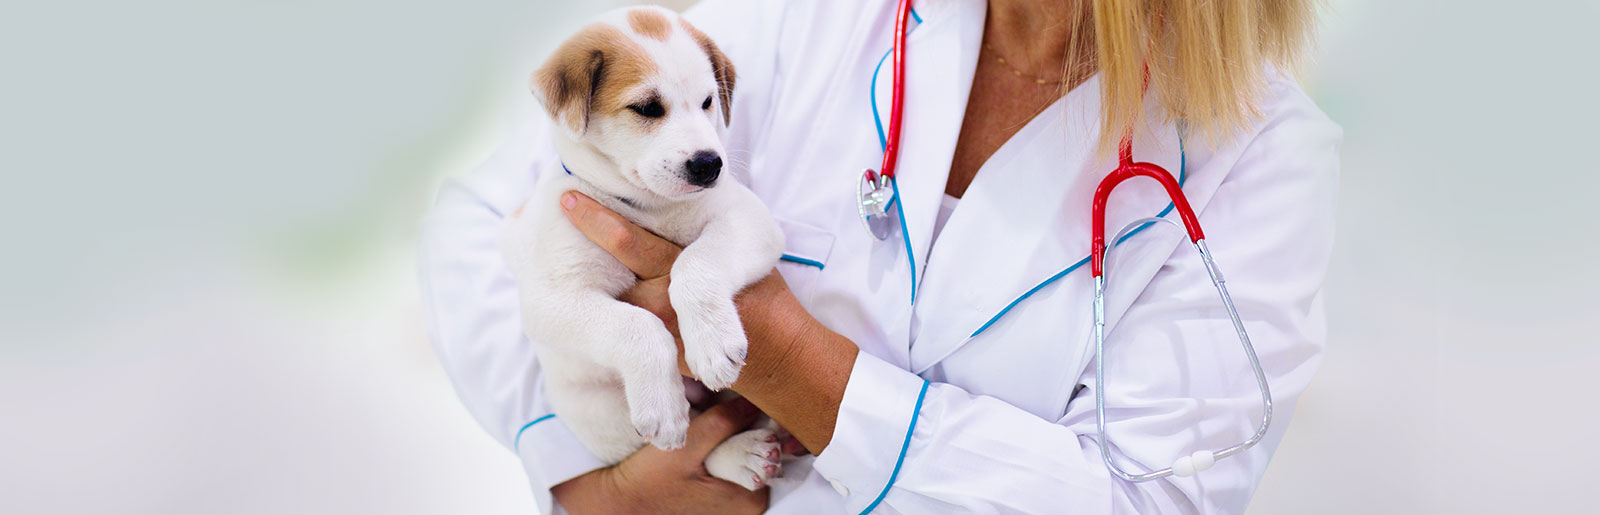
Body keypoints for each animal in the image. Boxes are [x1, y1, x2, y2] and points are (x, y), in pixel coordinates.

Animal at [492, 8, 780, 489]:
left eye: (708, 102)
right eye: (647, 108)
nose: (710, 164)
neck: (651, 207)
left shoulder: (749, 220)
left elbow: (695, 265)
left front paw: (712, 340)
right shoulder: (552, 300)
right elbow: (637, 324)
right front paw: (663, 404)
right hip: (598, 411)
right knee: (691, 441)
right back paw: (739, 454)